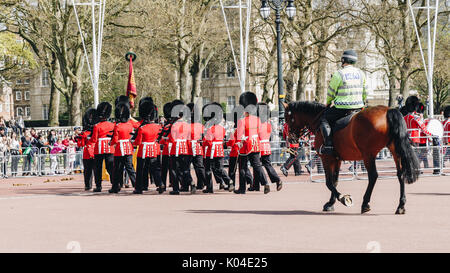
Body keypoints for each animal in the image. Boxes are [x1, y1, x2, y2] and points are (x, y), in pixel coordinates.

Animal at [284, 101, 420, 214]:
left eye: (287, 119)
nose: (291, 139)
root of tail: (388, 111)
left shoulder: (326, 158)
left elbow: (329, 182)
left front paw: (342, 198)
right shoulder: (337, 159)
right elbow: (335, 181)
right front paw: (331, 203)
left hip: (368, 154)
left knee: (373, 176)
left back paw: (365, 203)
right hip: (395, 151)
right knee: (400, 174)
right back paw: (401, 205)